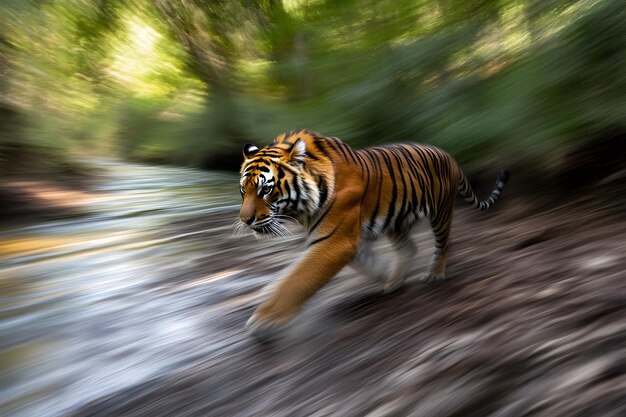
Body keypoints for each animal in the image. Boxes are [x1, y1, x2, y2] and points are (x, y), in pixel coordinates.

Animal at [239, 128, 508, 336]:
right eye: (244, 190)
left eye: (265, 190)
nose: (245, 220)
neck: (303, 210)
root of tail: (448, 155)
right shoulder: (346, 240)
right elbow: (297, 272)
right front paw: (383, 273)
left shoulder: (337, 241)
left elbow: (298, 279)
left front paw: (265, 319)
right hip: (398, 220)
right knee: (409, 247)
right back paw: (393, 282)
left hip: (440, 212)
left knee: (444, 243)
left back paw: (434, 274)